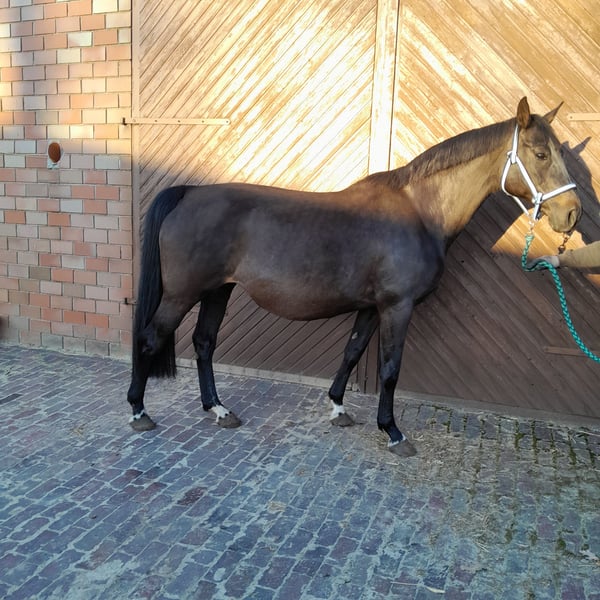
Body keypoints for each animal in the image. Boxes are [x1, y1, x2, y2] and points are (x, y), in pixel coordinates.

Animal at [126, 97, 580, 457]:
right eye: (541, 154)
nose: (572, 214)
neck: (419, 212)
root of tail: (189, 193)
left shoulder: (370, 307)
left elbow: (352, 352)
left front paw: (339, 408)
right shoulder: (397, 307)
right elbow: (389, 367)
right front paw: (393, 432)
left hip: (217, 291)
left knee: (204, 343)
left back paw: (219, 409)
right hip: (182, 294)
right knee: (150, 338)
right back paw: (139, 411)